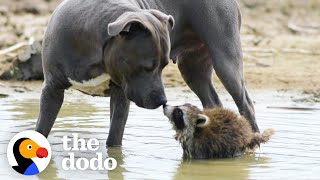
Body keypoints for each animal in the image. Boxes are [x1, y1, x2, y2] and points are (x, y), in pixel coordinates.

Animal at [35, 0, 260, 146]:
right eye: (147, 67)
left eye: (163, 66)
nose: (162, 101)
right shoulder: (52, 91)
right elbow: (41, 128)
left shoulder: (121, 95)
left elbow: (114, 137)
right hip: (193, 69)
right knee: (212, 100)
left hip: (225, 57)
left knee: (245, 103)